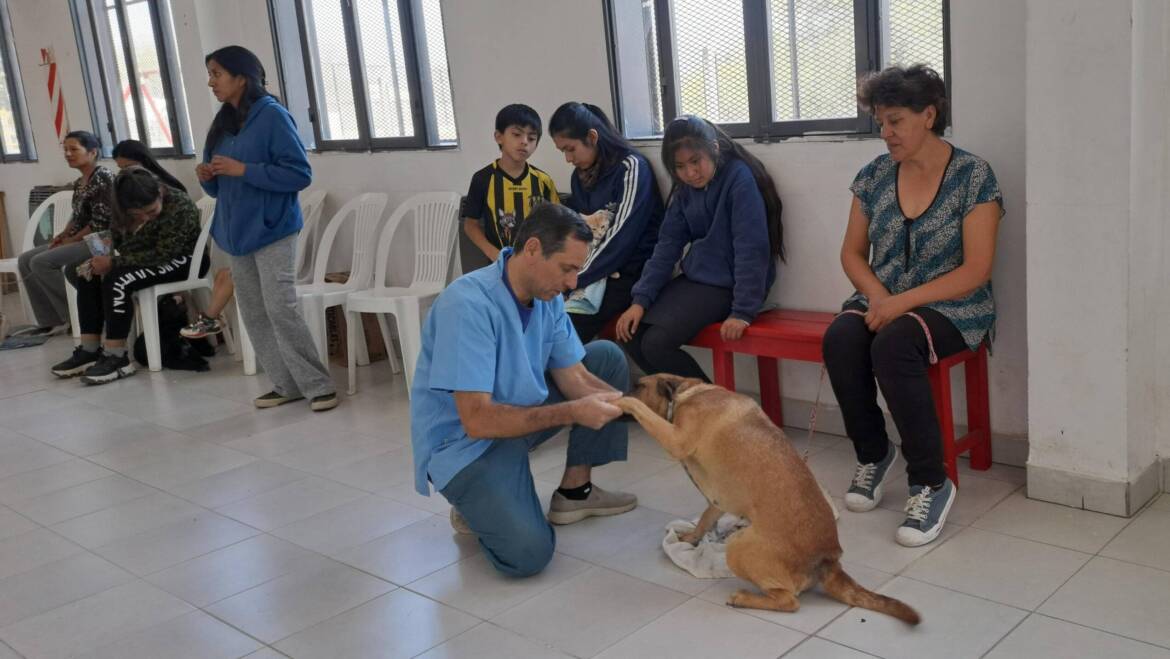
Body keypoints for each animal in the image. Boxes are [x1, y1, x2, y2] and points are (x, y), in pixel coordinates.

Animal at [617, 374, 917, 627]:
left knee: (789, 601)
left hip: (737, 548)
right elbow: (704, 520)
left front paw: (621, 400)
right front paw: (692, 538)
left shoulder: (675, 438)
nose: (623, 388)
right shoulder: (716, 499)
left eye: (639, 385)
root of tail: (829, 560)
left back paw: (745, 598)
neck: (686, 393)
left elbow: (642, 410)